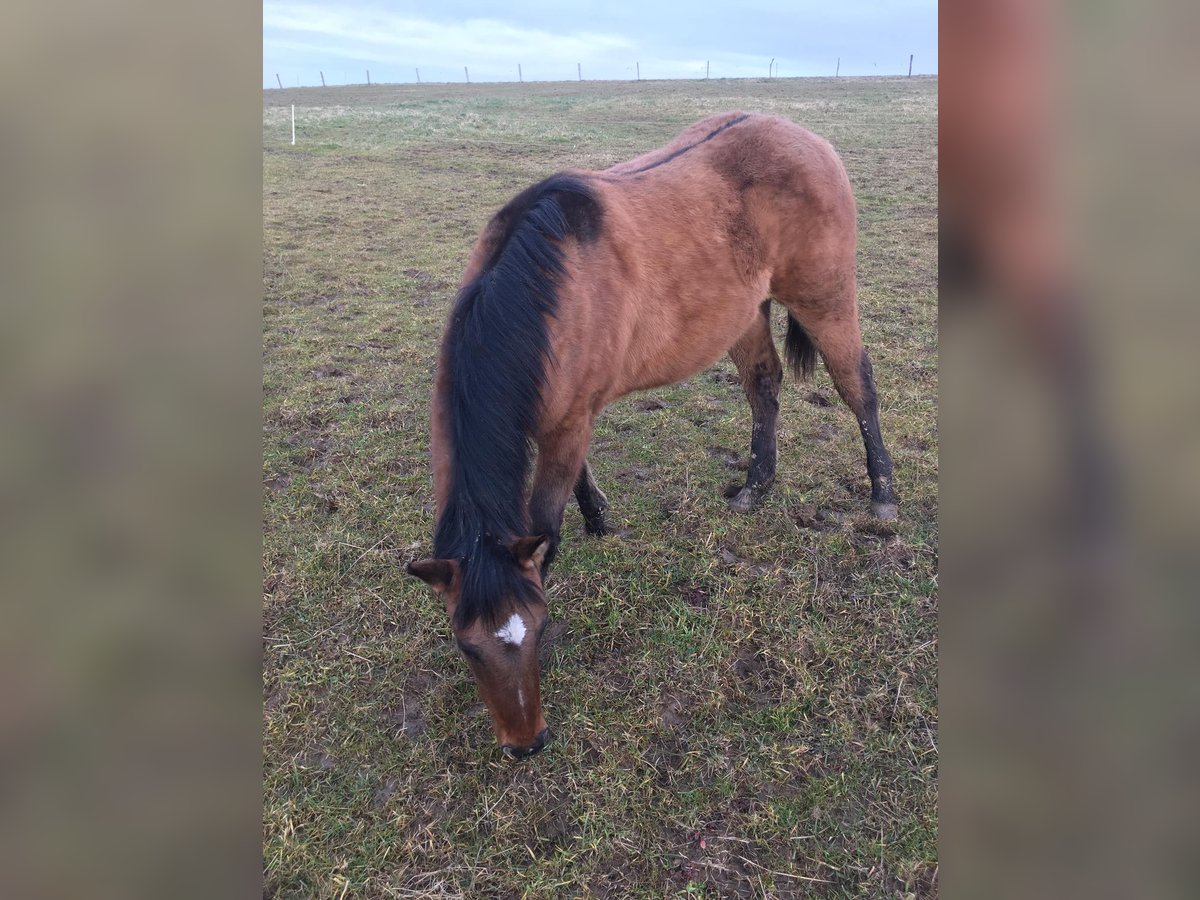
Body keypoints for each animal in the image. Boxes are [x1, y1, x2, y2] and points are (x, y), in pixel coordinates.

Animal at [408, 112, 897, 763]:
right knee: (763, 386)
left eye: (535, 627)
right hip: (744, 311)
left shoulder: (569, 423)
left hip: (826, 297)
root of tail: (805, 138)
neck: (544, 292)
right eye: (466, 646)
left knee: (857, 387)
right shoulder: (572, 416)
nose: (526, 745)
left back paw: (883, 494)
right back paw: (756, 486)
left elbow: (547, 522)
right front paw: (598, 517)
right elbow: (576, 483)